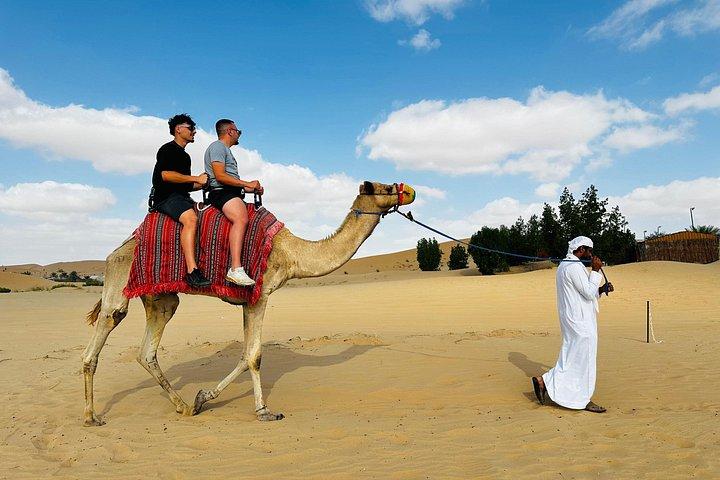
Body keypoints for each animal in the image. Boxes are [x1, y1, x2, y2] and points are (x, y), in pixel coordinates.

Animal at [81, 181, 415, 426]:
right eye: (387, 187)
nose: (410, 191)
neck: (290, 252)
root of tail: (116, 250)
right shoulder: (260, 294)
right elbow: (255, 355)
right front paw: (264, 411)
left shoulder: (246, 301)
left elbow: (245, 355)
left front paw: (202, 398)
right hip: (119, 281)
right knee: (102, 333)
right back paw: (91, 417)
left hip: (161, 298)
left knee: (147, 352)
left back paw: (183, 406)